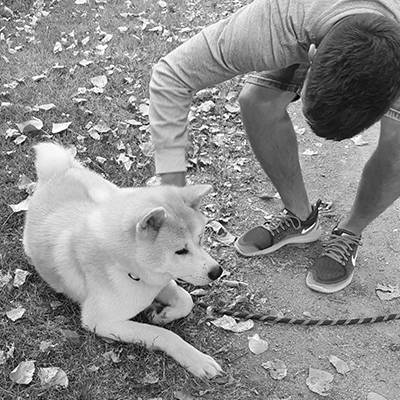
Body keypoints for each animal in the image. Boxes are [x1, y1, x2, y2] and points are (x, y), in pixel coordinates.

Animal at [23, 143, 223, 378]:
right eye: (181, 251)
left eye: (200, 239)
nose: (217, 271)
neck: (128, 269)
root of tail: (58, 172)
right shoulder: (100, 322)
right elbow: (163, 334)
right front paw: (195, 359)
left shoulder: (158, 281)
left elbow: (186, 300)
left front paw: (164, 314)